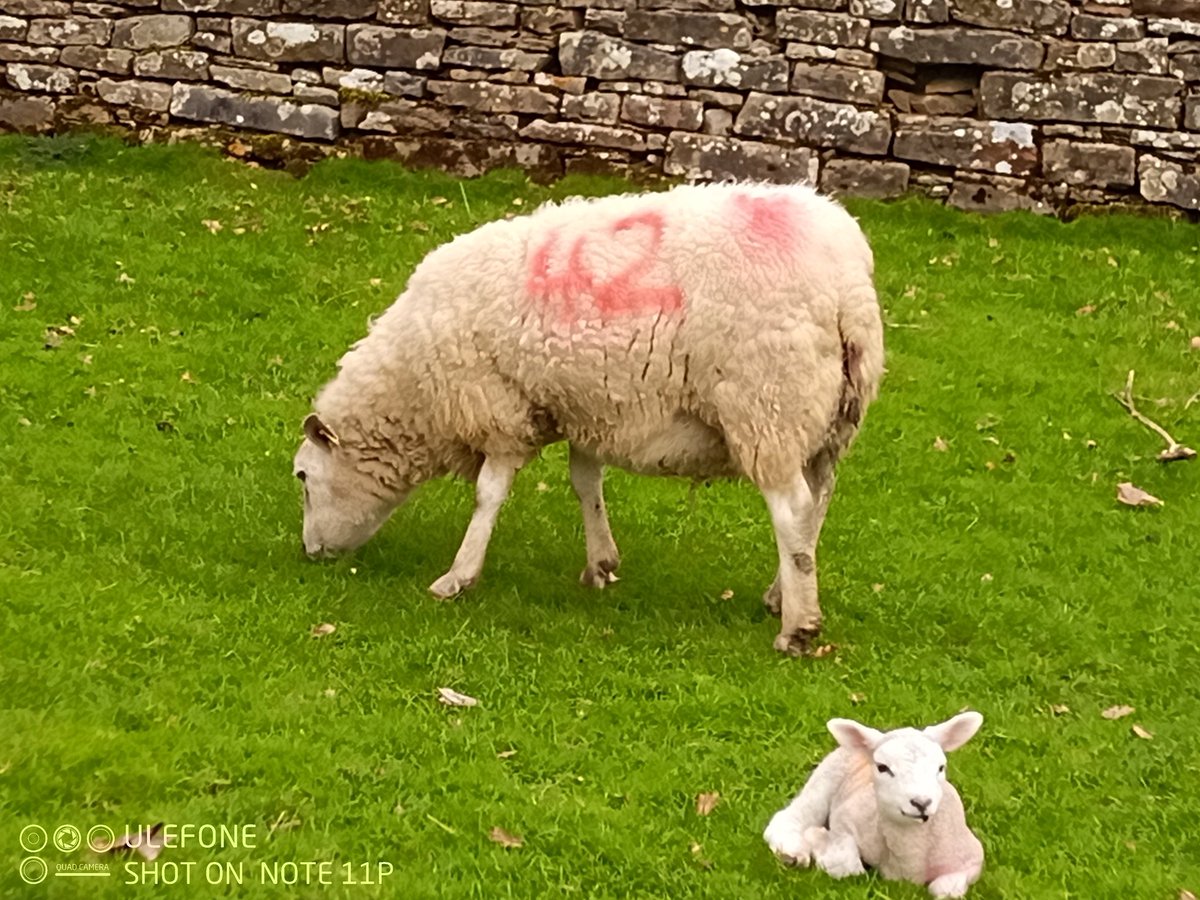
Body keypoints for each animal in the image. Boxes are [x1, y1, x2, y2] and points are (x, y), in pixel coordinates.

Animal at [292, 181, 884, 654]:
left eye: (302, 477)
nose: (310, 553)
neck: (412, 381)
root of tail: (847, 285)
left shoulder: (501, 408)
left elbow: (488, 496)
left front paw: (458, 576)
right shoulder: (587, 405)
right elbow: (586, 483)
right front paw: (601, 563)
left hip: (768, 401)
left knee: (791, 508)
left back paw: (798, 628)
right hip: (830, 417)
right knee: (817, 502)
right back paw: (782, 593)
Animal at [763, 712, 985, 897]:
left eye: (941, 767)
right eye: (882, 767)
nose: (921, 802)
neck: (910, 861)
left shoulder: (973, 858)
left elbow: (944, 890)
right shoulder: (846, 819)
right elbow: (850, 868)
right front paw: (818, 839)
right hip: (827, 776)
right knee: (791, 816)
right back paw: (792, 852)